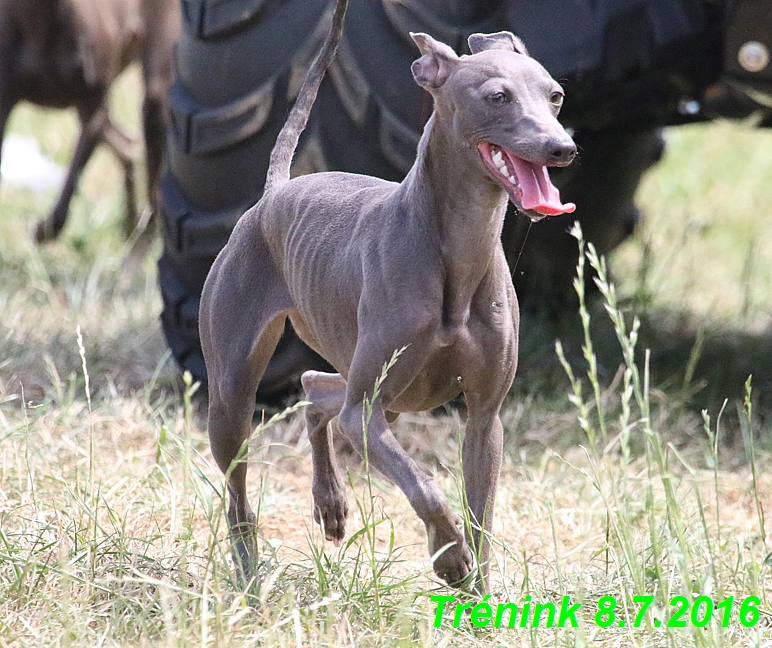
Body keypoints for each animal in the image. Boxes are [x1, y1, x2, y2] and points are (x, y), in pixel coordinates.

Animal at [0, 0, 180, 240]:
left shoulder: (93, 107)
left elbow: (75, 173)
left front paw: (48, 227)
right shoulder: (5, 99)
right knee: (126, 146)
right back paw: (133, 223)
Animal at [202, 0, 576, 588]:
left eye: (555, 94)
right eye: (498, 96)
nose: (563, 148)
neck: (457, 255)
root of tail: (274, 193)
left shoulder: (484, 419)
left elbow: (481, 517)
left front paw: (477, 589)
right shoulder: (369, 412)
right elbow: (427, 489)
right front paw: (449, 558)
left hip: (391, 399)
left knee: (315, 388)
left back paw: (330, 503)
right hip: (234, 394)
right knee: (240, 490)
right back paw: (250, 577)